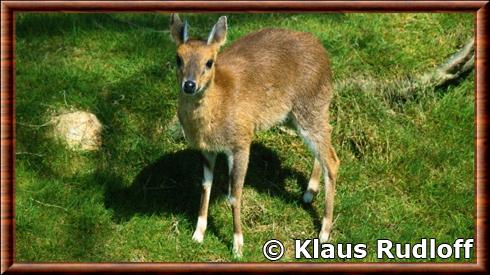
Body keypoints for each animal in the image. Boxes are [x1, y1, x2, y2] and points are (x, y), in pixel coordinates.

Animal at [170, 14, 338, 258]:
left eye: (209, 62)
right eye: (178, 58)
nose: (190, 85)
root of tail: (324, 53)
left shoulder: (240, 141)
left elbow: (234, 194)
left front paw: (238, 246)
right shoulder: (207, 149)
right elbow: (205, 186)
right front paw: (197, 235)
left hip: (311, 106)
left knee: (332, 160)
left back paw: (324, 232)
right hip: (298, 116)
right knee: (326, 144)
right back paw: (309, 193)